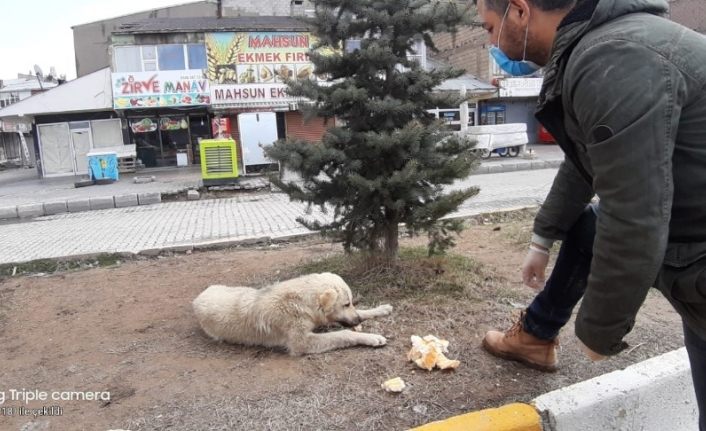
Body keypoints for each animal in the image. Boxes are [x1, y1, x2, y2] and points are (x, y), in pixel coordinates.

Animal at [191, 274, 390, 354]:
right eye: (346, 304)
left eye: (351, 303)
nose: (357, 320)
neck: (301, 302)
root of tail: (199, 296)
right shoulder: (302, 343)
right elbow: (343, 333)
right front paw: (371, 337)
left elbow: (363, 311)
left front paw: (381, 309)